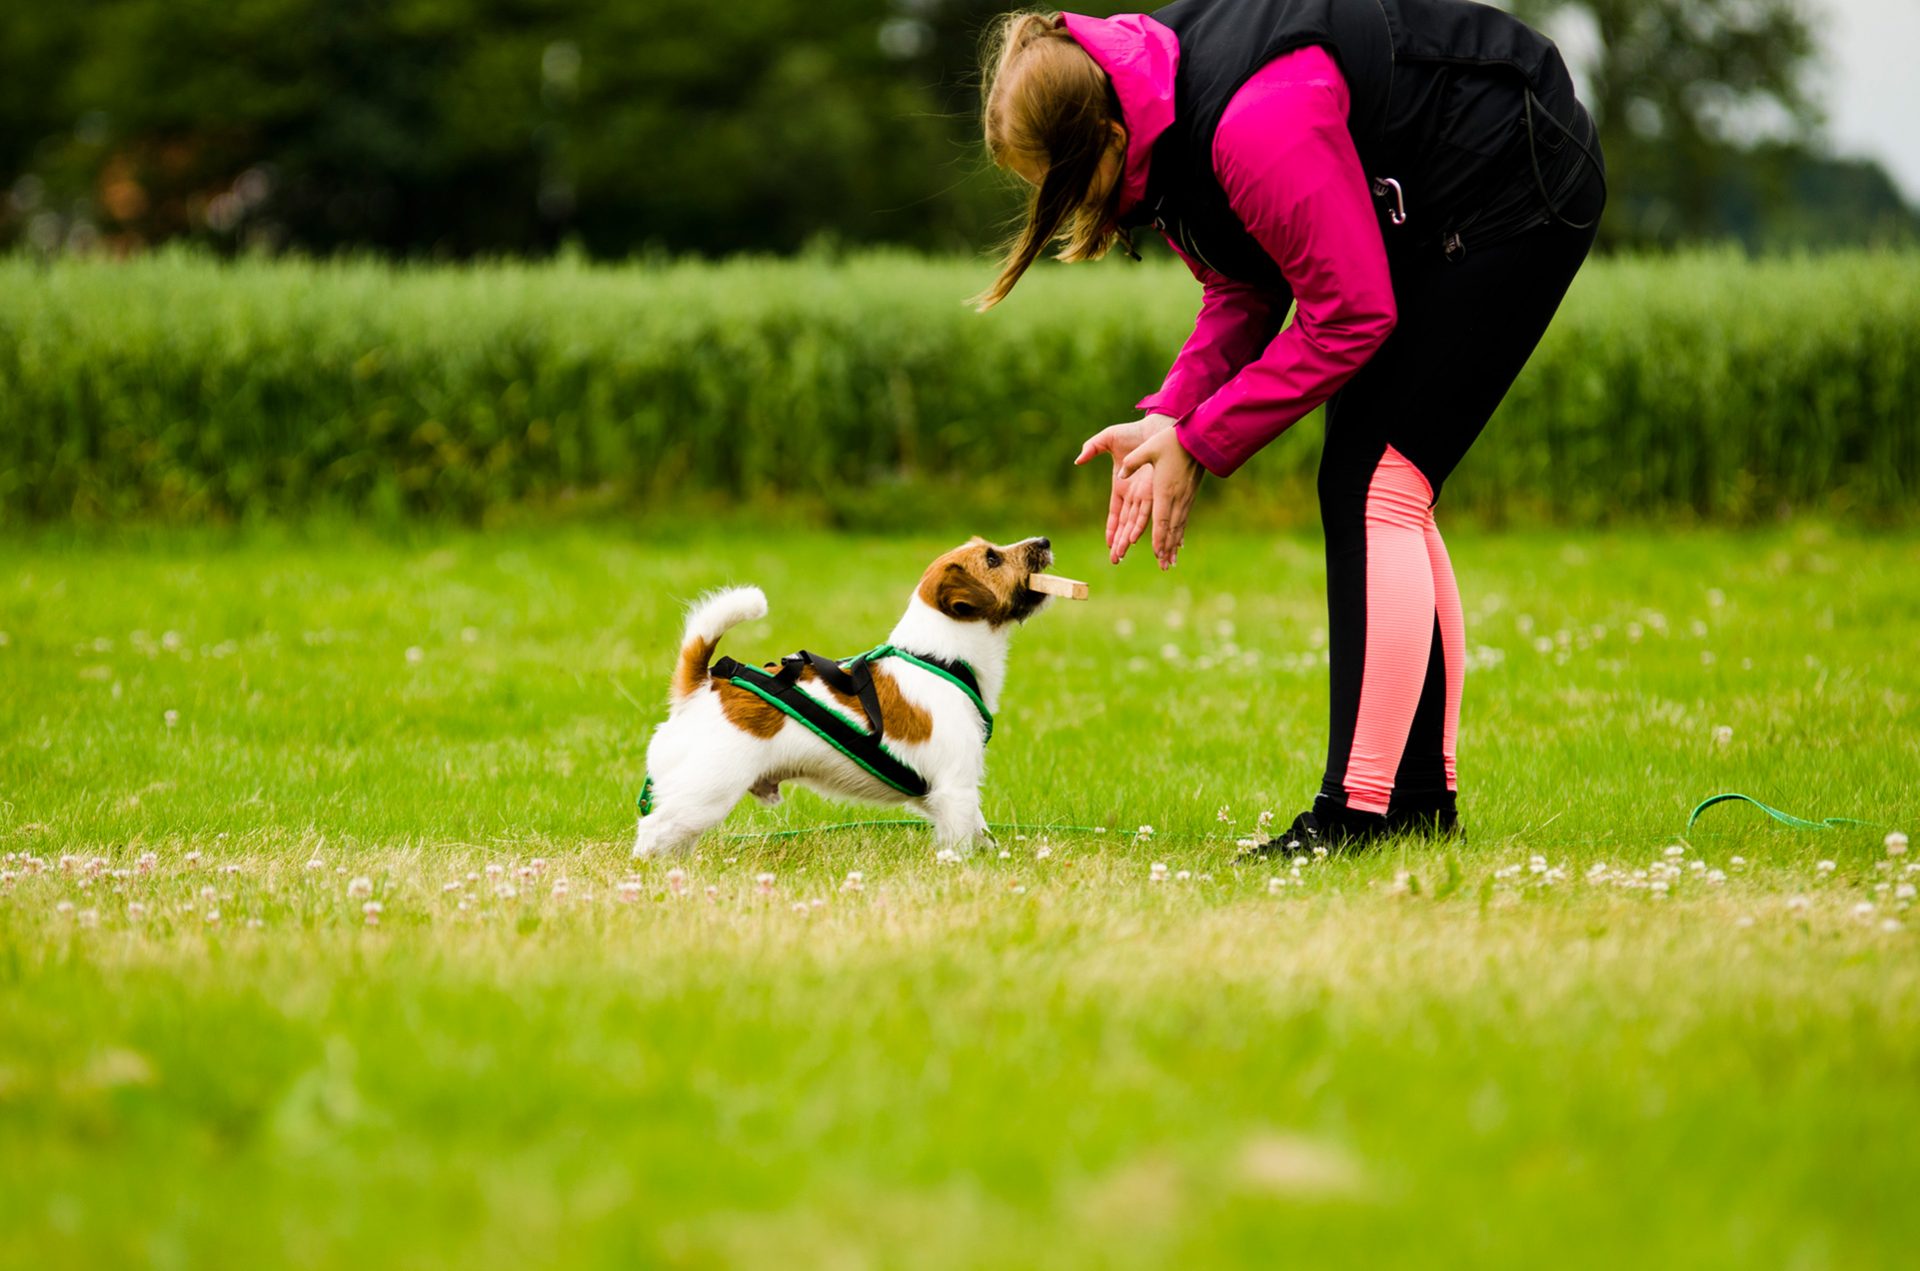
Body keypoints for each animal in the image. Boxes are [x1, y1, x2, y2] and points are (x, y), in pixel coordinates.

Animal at [629, 533, 1052, 860]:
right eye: (992, 558)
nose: (1045, 541)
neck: (940, 658)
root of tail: (699, 690)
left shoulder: (944, 794)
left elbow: (981, 831)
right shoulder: (955, 787)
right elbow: (962, 839)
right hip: (704, 795)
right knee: (653, 830)